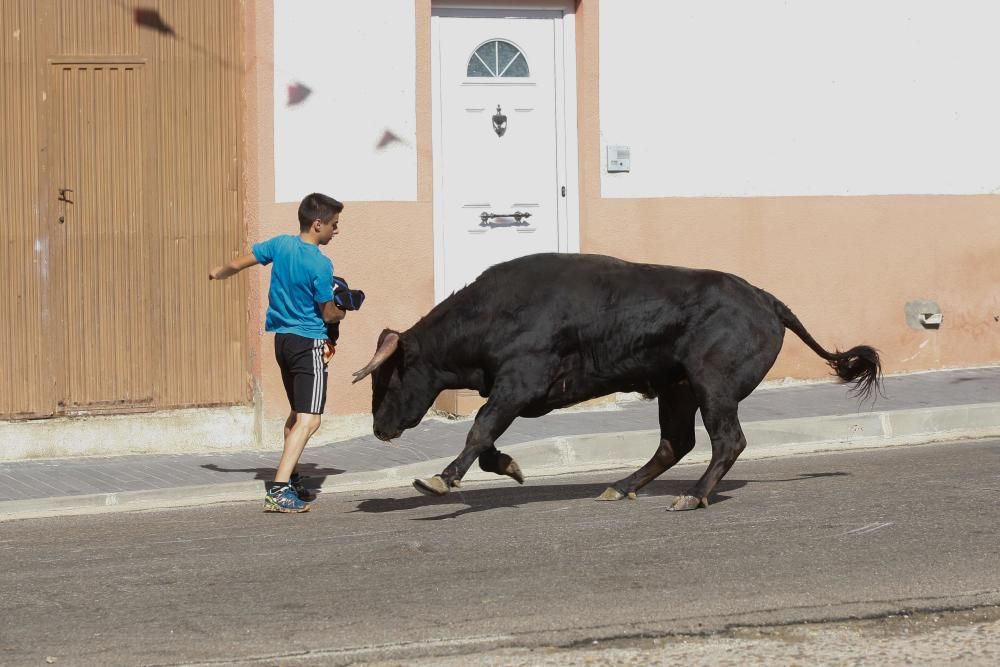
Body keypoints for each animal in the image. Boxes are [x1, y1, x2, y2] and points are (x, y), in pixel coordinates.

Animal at [352, 252, 884, 512]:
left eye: (389, 378)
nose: (379, 429)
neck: (495, 314)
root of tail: (765, 299)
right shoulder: (511, 391)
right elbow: (486, 440)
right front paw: (510, 468)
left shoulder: (520, 383)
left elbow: (480, 429)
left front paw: (439, 480)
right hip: (676, 388)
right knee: (676, 441)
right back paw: (622, 487)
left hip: (711, 384)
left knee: (727, 440)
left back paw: (693, 496)